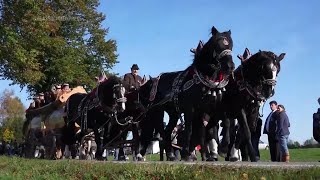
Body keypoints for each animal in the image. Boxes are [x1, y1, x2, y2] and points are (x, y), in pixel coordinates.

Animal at [138, 26, 235, 161]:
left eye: (231, 44)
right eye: (217, 43)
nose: (230, 66)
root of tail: (152, 81)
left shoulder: (209, 109)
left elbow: (222, 124)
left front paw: (222, 149)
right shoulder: (190, 109)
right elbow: (189, 130)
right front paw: (186, 153)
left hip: (173, 114)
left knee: (167, 132)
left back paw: (170, 155)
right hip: (157, 111)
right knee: (160, 131)